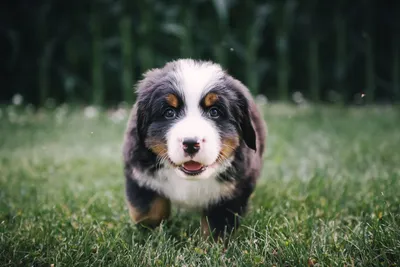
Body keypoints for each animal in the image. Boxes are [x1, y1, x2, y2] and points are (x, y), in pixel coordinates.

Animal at [122, 59, 266, 241]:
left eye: (214, 112)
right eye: (169, 112)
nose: (191, 143)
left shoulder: (233, 189)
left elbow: (218, 224)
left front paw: (213, 245)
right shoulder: (139, 174)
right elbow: (148, 210)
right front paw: (149, 236)